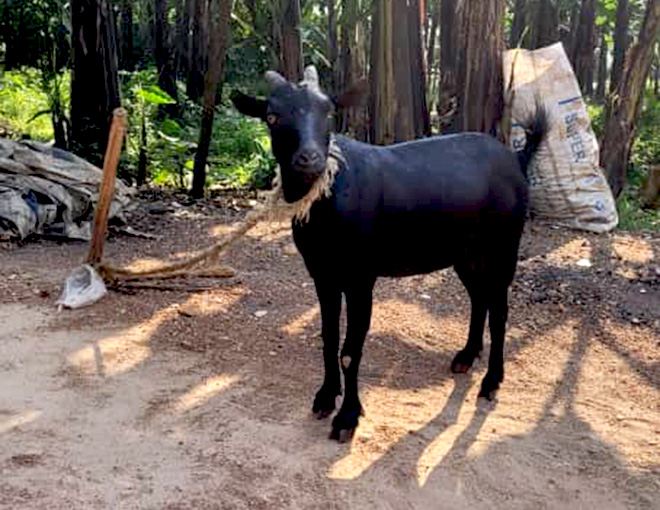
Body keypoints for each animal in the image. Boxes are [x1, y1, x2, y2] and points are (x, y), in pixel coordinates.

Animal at [232, 66, 548, 442]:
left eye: (329, 112)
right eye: (272, 116)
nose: (309, 159)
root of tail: (515, 159)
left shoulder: (360, 276)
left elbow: (350, 351)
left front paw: (347, 418)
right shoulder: (322, 273)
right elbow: (328, 338)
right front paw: (325, 397)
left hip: (504, 242)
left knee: (499, 309)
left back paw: (491, 381)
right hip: (465, 251)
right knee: (479, 297)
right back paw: (466, 356)